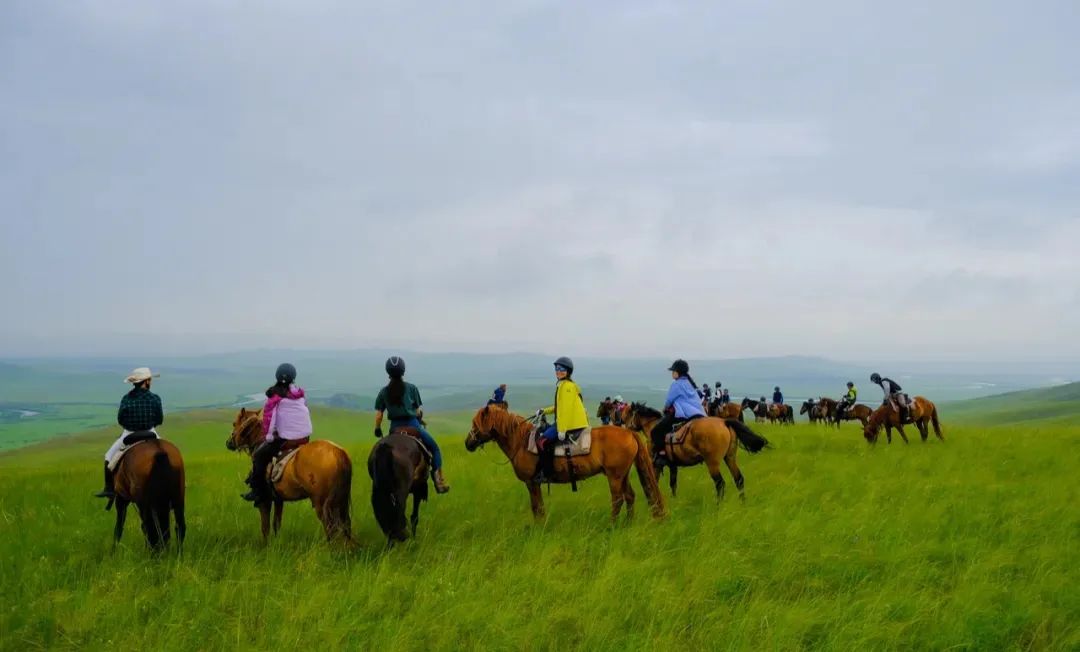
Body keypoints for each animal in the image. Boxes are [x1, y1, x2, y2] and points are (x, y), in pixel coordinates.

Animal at [227, 410, 354, 541]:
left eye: (234, 423)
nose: (228, 443)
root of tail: (338, 452)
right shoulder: (278, 499)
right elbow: (276, 524)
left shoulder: (264, 500)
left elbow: (265, 528)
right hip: (340, 501)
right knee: (345, 525)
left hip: (322, 504)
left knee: (331, 528)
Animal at [464, 405, 665, 522]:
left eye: (475, 423)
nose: (468, 443)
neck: (521, 442)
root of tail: (629, 433)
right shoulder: (535, 483)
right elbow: (540, 506)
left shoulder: (531, 482)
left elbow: (536, 507)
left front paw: (539, 528)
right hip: (623, 474)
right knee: (630, 496)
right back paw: (627, 523)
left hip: (614, 476)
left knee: (618, 499)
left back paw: (612, 525)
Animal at [622, 401, 773, 498]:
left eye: (629, 414)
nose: (625, 428)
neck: (652, 427)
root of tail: (724, 422)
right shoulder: (672, 465)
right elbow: (673, 484)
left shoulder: (656, 464)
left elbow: (655, 482)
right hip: (729, 458)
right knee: (739, 479)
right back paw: (742, 503)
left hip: (712, 462)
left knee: (720, 484)